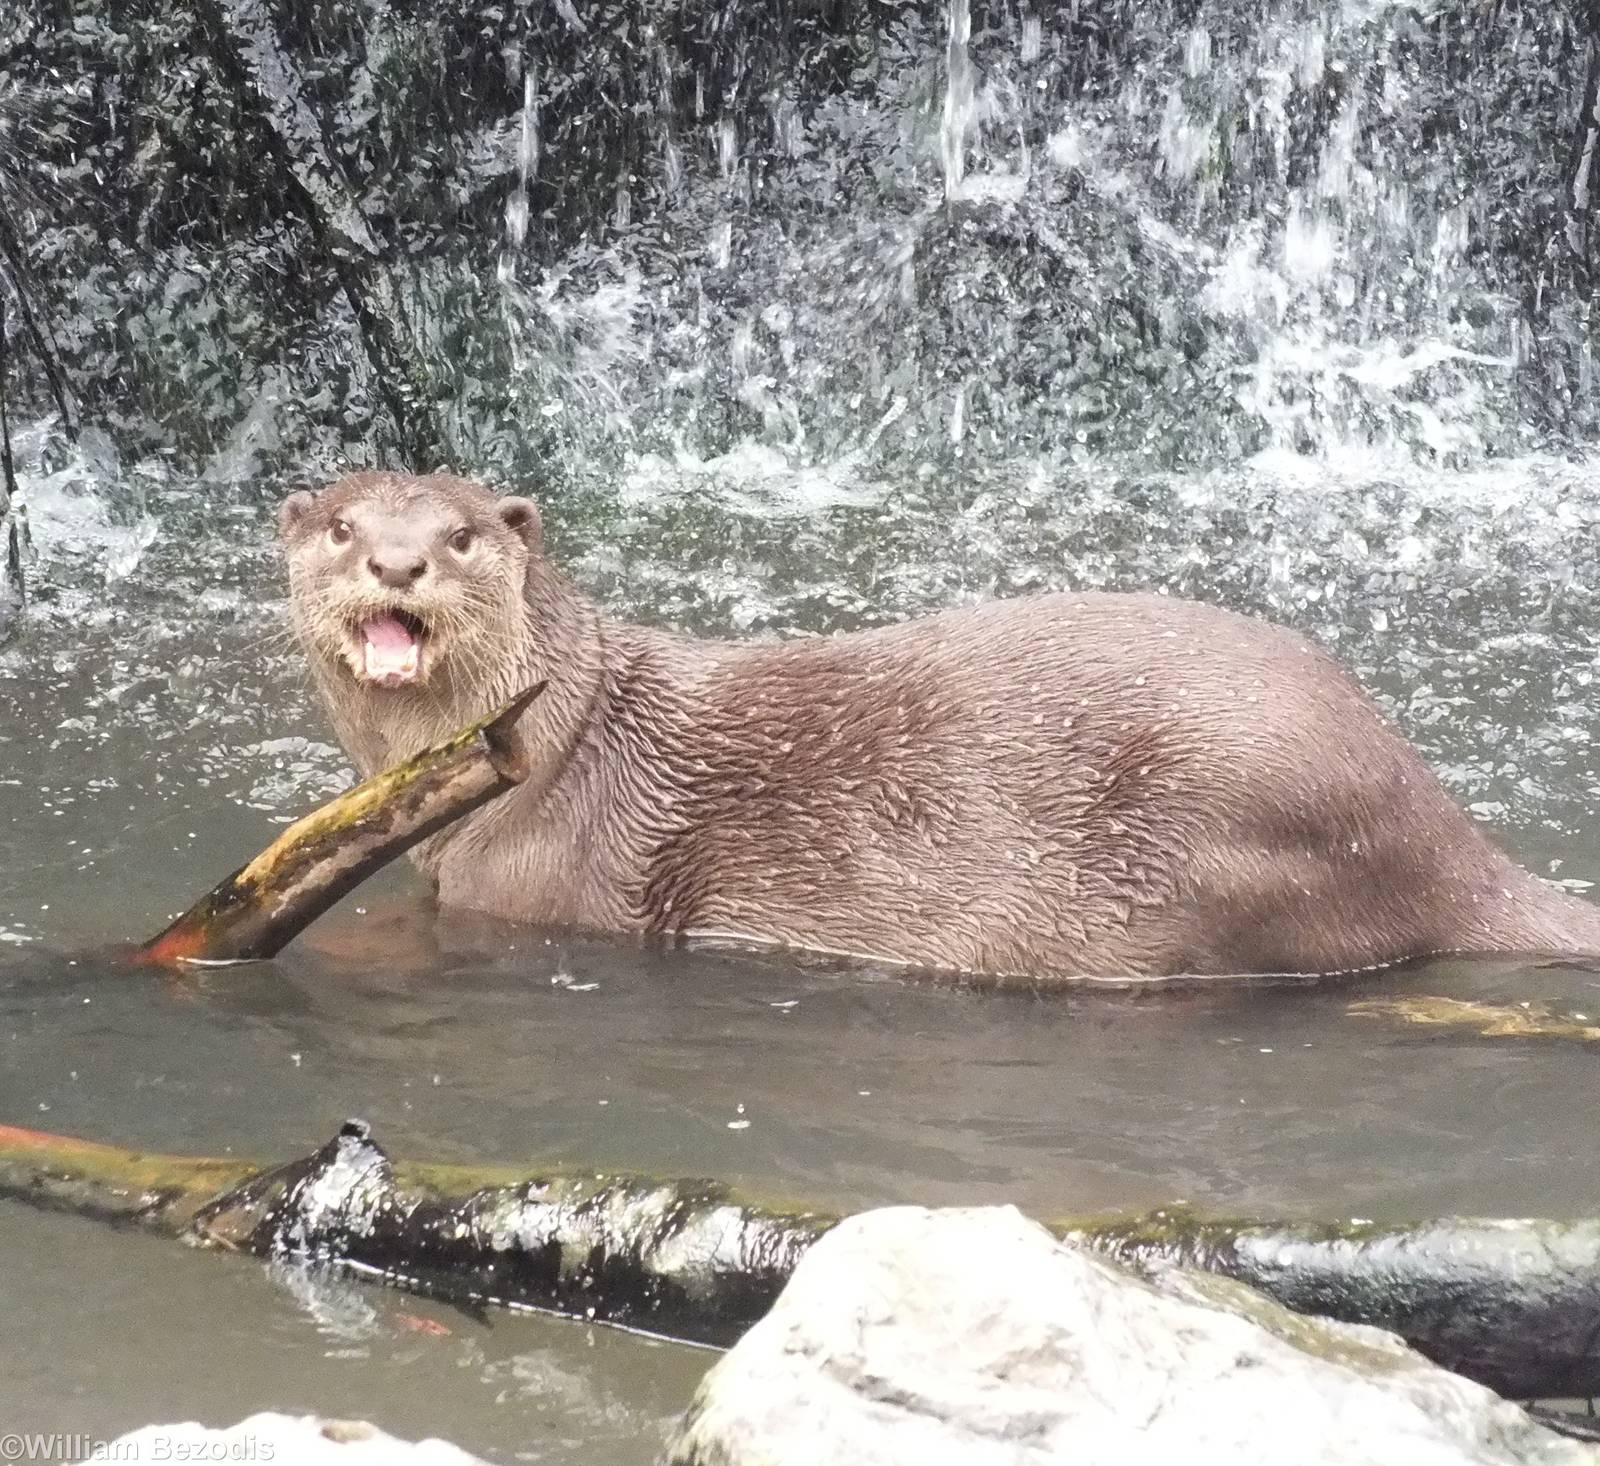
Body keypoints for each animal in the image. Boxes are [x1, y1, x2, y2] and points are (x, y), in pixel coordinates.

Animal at [278, 471, 1600, 981]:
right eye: (344, 525)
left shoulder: (528, 886)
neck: (567, 743)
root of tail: (1442, 829)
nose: (397, 561)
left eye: (458, 535)